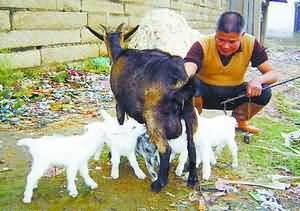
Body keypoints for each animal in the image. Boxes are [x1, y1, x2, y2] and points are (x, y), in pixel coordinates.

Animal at [86, 23, 199, 192]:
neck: (119, 53)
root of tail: (180, 80)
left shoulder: (119, 103)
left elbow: (120, 123)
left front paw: (112, 155)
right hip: (190, 112)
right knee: (191, 144)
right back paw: (192, 178)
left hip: (153, 117)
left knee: (165, 149)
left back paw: (159, 183)